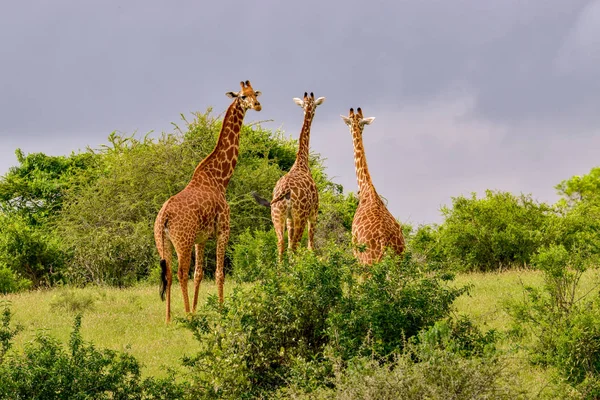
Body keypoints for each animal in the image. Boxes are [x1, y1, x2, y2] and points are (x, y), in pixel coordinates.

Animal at [154, 80, 262, 322]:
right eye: (243, 96)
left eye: (255, 93)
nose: (258, 105)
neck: (219, 179)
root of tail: (164, 216)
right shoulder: (223, 229)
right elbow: (220, 273)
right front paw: (220, 311)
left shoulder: (200, 238)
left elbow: (199, 273)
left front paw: (197, 309)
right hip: (182, 241)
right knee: (180, 272)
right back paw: (185, 315)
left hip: (162, 242)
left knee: (169, 274)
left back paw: (168, 318)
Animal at [254, 92, 328, 260]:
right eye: (315, 106)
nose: (312, 112)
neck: (301, 163)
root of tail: (285, 191)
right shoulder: (314, 211)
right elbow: (310, 245)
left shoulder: (288, 218)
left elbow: (287, 244)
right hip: (300, 215)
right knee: (295, 244)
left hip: (277, 213)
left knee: (281, 242)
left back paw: (280, 267)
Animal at [340, 105, 406, 266]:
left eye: (348, 124)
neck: (366, 189)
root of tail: (384, 241)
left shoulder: (354, 248)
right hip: (400, 259)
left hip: (367, 260)